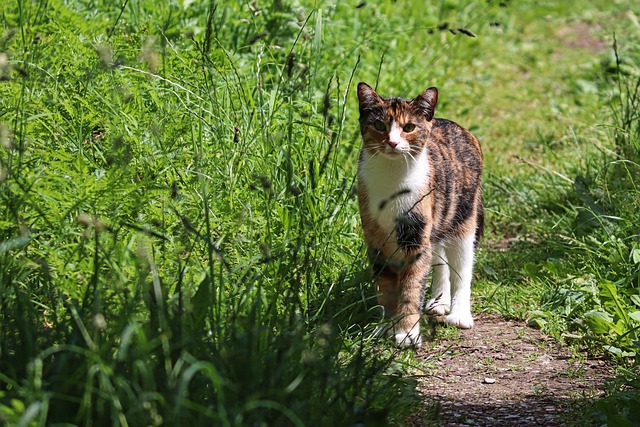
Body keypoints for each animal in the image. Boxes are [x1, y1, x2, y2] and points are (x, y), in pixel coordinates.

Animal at [356, 83, 484, 348]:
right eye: (380, 125)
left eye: (408, 128)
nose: (393, 143)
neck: (392, 178)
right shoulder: (375, 239)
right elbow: (384, 287)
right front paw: (386, 325)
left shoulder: (416, 236)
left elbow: (412, 286)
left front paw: (406, 332)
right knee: (440, 259)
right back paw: (439, 302)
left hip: (463, 218)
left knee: (462, 266)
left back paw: (459, 314)